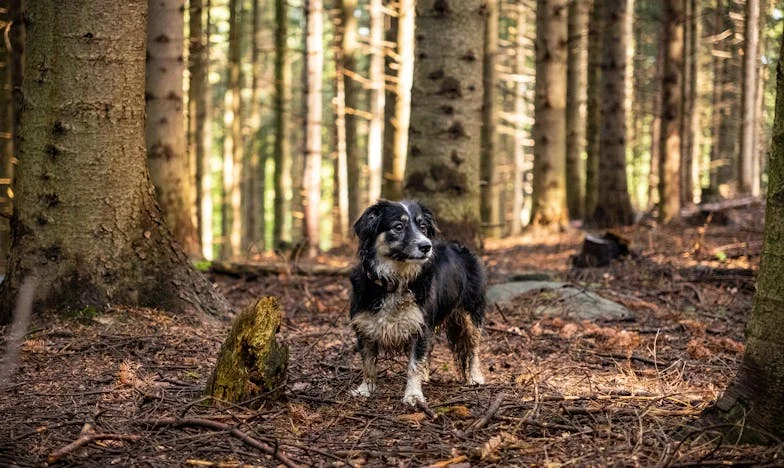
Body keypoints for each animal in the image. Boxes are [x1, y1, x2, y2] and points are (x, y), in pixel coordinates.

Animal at [350, 199, 484, 404]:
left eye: (422, 226)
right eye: (398, 227)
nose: (426, 246)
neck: (396, 281)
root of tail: (461, 248)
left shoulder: (420, 327)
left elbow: (414, 364)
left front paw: (413, 395)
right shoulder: (365, 327)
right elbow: (368, 363)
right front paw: (365, 389)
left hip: (471, 314)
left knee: (473, 348)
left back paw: (475, 377)